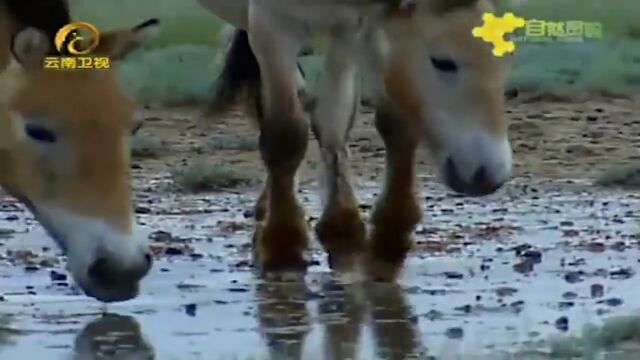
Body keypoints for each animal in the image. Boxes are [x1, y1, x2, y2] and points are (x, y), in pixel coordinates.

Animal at [202, 0, 512, 282]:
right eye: (443, 62)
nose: (489, 175)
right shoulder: (272, 25)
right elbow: (285, 134)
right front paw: (282, 246)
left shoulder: (358, 28)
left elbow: (349, 119)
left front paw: (370, 234)